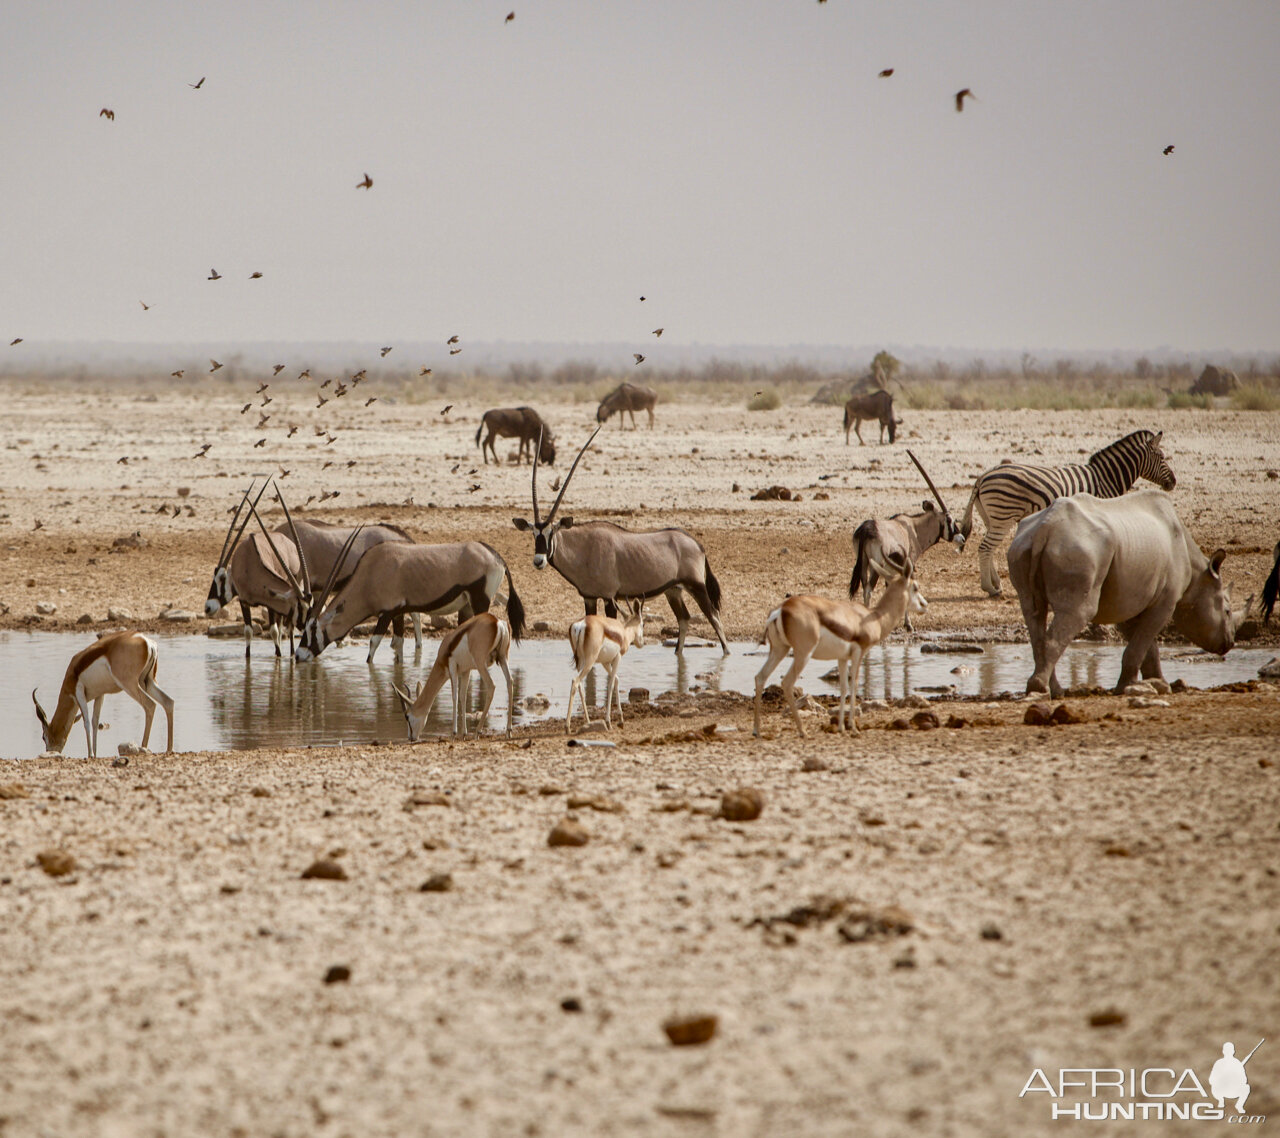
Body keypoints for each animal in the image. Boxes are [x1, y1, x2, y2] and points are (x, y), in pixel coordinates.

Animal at [962, 427, 1177, 593]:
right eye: (1161, 457)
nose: (1173, 482)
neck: (1105, 478)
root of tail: (983, 476)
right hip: (1003, 515)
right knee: (986, 548)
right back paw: (989, 588)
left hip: (991, 517)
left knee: (989, 548)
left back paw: (996, 584)